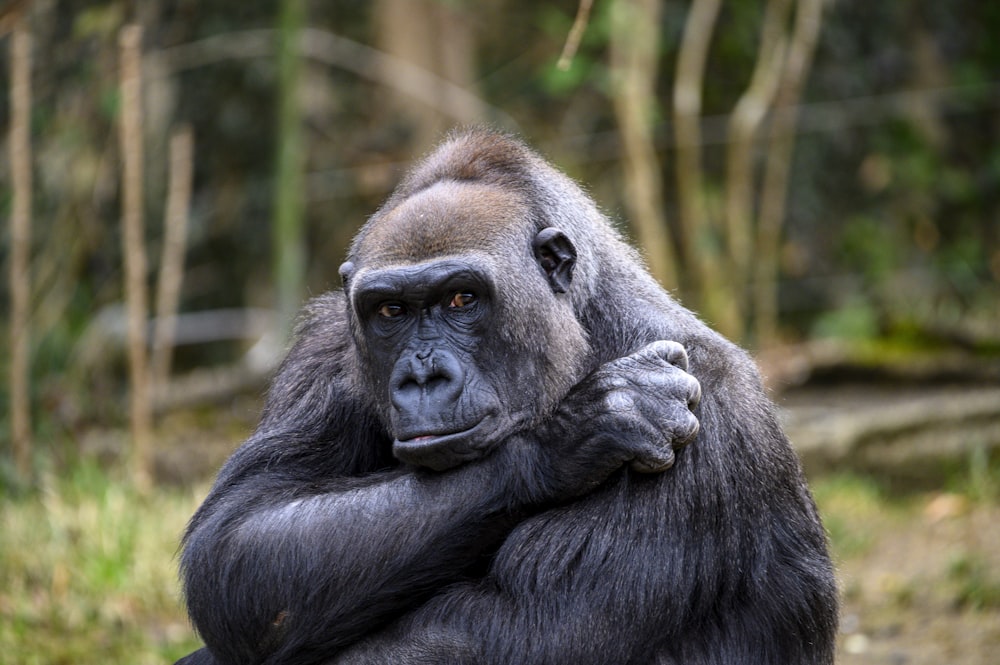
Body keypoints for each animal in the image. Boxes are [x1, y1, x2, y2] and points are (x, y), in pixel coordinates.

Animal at [178, 130, 836, 664]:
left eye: (462, 299)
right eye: (390, 311)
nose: (422, 379)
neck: (585, 324)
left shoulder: (709, 402)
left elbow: (505, 633)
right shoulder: (326, 345)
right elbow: (240, 543)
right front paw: (570, 436)